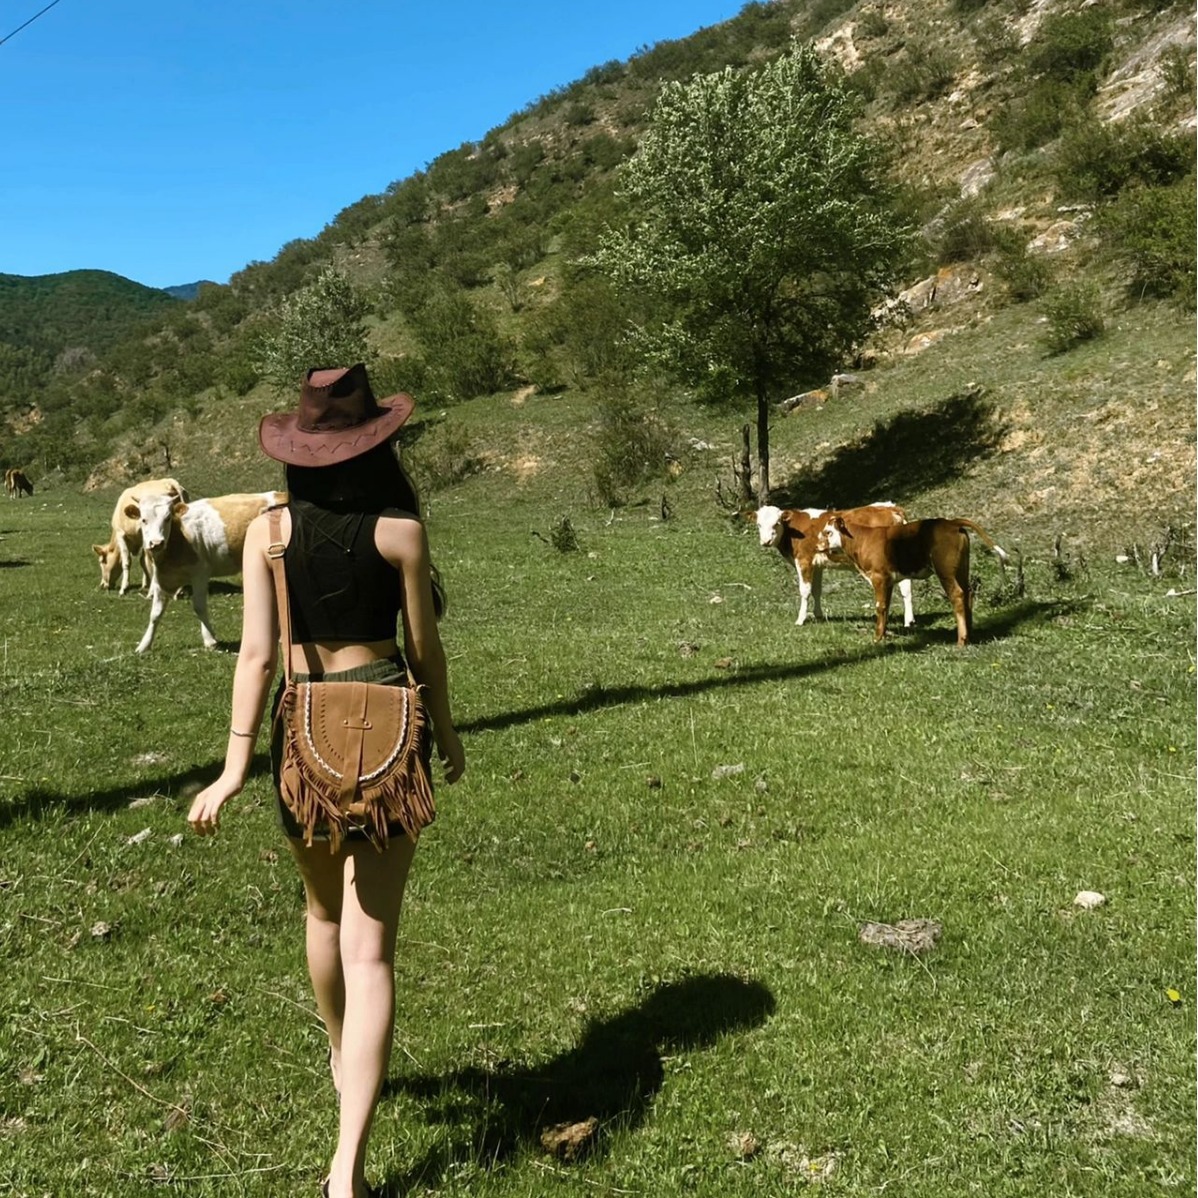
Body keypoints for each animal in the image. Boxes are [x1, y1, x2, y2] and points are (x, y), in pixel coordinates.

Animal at [129, 490, 287, 654]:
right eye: (143, 520)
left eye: (167, 518)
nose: (156, 543)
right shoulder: (162, 578)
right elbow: (155, 614)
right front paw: (144, 645)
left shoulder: (200, 573)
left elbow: (199, 607)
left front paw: (210, 640)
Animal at [754, 503, 915, 628]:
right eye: (759, 525)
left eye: (776, 523)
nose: (766, 541)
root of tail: (892, 508)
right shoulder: (817, 565)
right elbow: (816, 590)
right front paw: (818, 615)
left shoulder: (804, 560)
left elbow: (805, 591)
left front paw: (800, 620)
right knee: (906, 588)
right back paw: (909, 621)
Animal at [817, 515, 1009, 646]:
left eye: (828, 532)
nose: (817, 546)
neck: (861, 540)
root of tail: (950, 522)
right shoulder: (888, 581)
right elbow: (885, 607)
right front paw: (883, 635)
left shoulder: (879, 578)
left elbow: (879, 607)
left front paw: (877, 638)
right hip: (962, 568)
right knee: (968, 593)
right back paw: (970, 634)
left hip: (945, 571)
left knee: (958, 595)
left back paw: (961, 640)